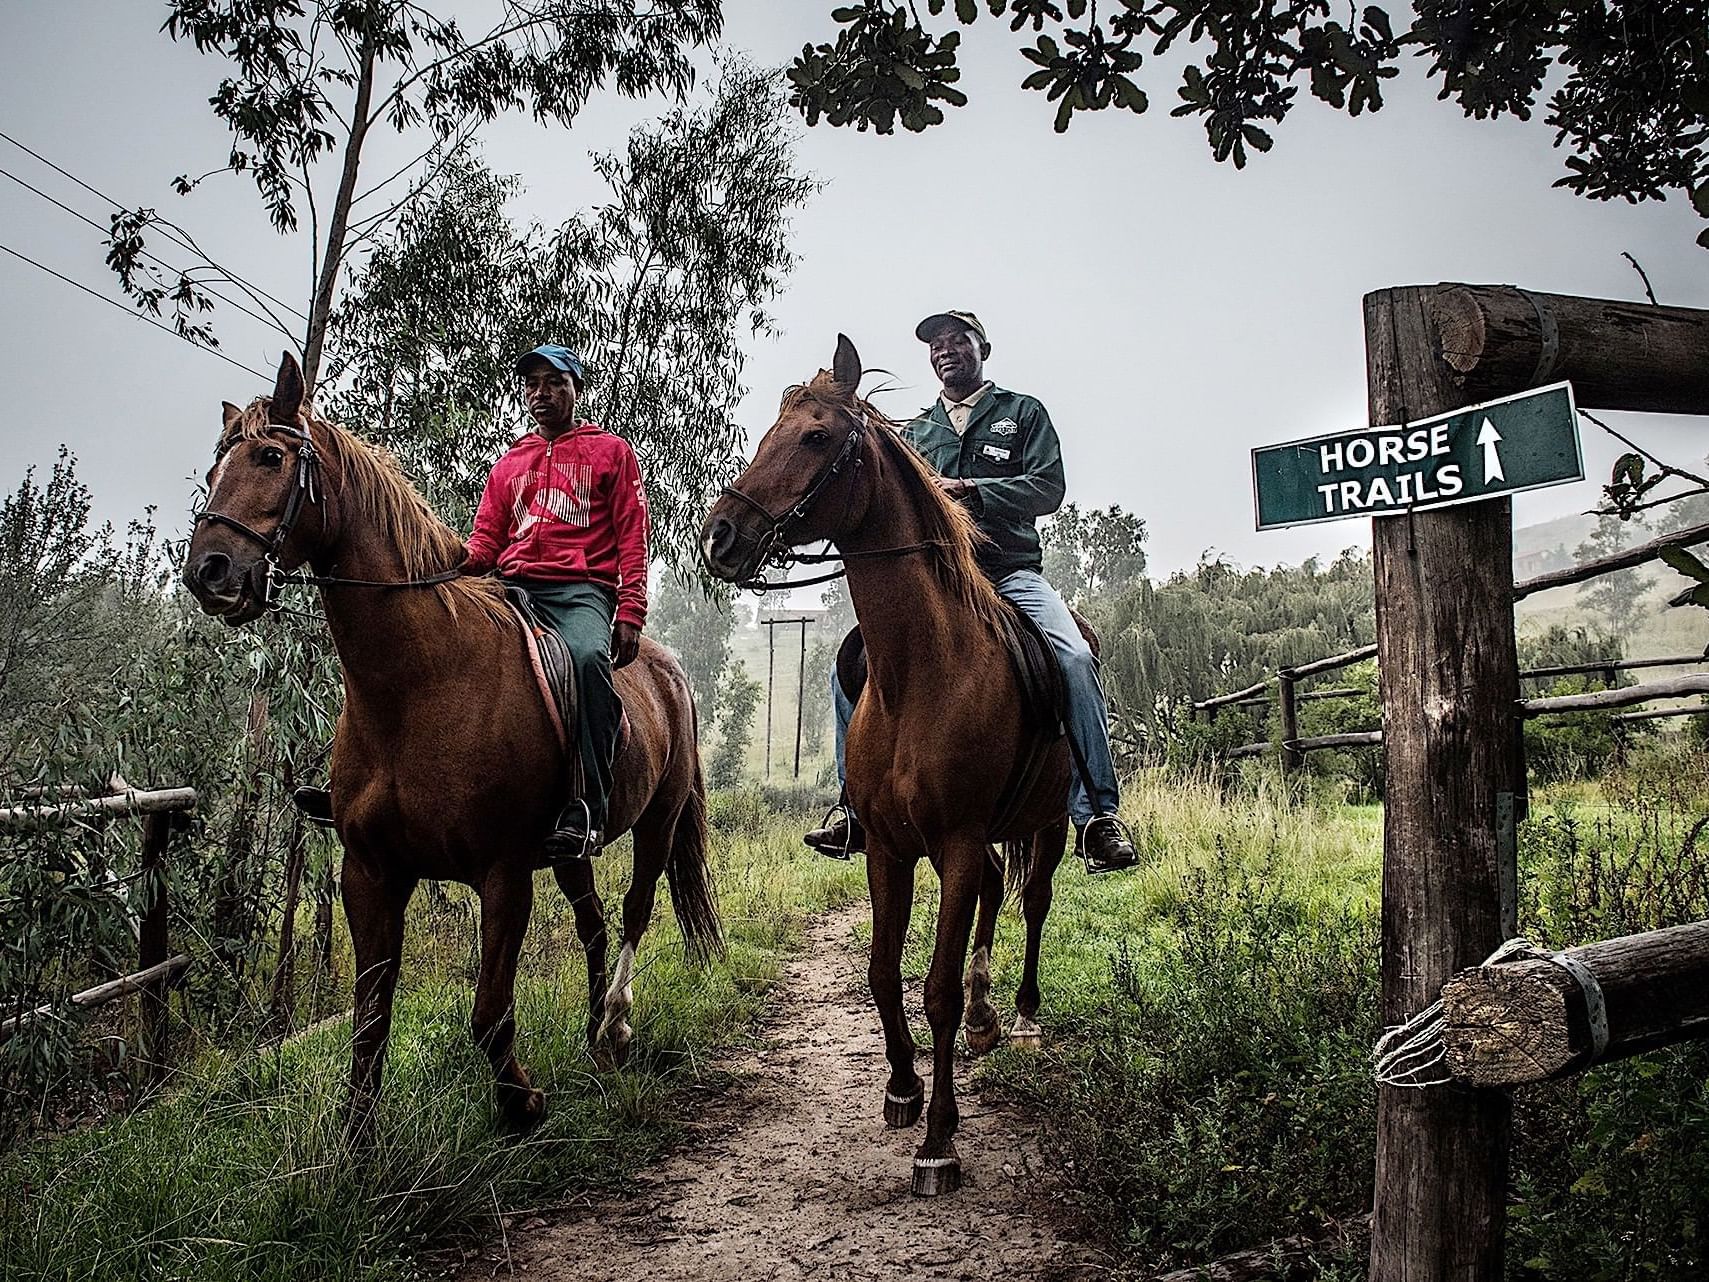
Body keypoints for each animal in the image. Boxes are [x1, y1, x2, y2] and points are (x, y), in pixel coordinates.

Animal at [183, 348, 717, 1134]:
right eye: (215, 465)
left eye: (271, 457)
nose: (209, 571)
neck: (417, 686)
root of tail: (666, 666)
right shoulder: (370, 874)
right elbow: (369, 1022)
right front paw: (357, 1141)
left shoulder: (503, 874)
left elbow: (489, 1013)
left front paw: (521, 1103)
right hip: (571, 853)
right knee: (592, 925)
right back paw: (596, 1035)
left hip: (657, 820)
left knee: (633, 911)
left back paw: (617, 1023)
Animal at [700, 336, 1059, 1203]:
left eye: (815, 437)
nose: (720, 536)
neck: (921, 670)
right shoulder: (891, 848)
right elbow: (880, 971)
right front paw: (902, 1088)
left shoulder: (955, 844)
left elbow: (931, 987)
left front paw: (938, 1142)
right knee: (997, 897)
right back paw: (986, 1019)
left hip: (1054, 822)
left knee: (1033, 902)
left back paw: (1022, 1017)